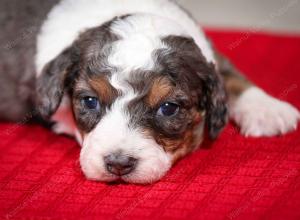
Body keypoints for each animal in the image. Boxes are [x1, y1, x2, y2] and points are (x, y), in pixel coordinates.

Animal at [1, 0, 298, 184]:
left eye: (168, 108)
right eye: (90, 101)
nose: (118, 164)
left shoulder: (210, 55)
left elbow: (232, 76)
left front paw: (268, 110)